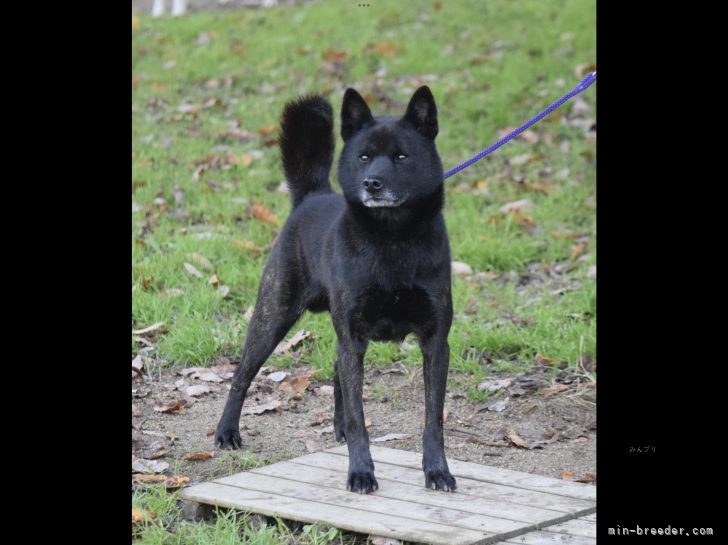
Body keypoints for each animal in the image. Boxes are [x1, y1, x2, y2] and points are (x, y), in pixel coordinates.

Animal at [213, 86, 458, 492]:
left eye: (402, 156)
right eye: (364, 157)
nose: (372, 183)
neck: (392, 240)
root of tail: (311, 196)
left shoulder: (435, 342)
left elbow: (433, 419)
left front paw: (437, 470)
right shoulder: (354, 335)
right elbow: (361, 418)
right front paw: (360, 472)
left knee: (336, 368)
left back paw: (338, 428)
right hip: (273, 317)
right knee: (241, 374)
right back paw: (226, 432)